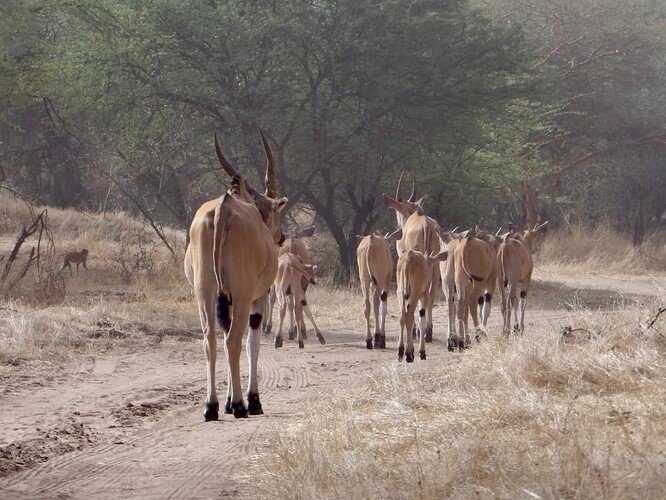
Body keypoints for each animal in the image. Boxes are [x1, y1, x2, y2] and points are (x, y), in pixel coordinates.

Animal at [184, 131, 287, 421]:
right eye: (276, 210)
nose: (282, 237)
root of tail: (223, 210)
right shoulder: (256, 297)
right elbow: (252, 342)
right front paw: (251, 401)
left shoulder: (224, 299)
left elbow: (223, 333)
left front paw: (228, 401)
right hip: (241, 294)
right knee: (233, 340)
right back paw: (241, 406)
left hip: (205, 293)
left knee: (210, 338)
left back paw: (211, 406)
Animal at [383, 172, 442, 342]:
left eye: (397, 210)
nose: (398, 227)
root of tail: (427, 225)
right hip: (435, 264)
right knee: (431, 293)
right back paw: (428, 331)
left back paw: (420, 331)